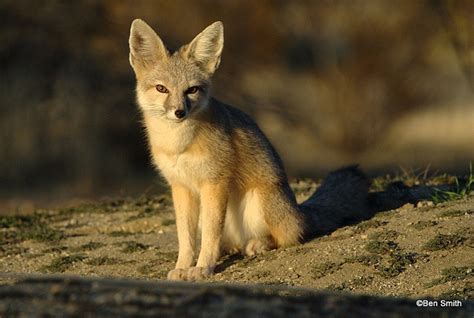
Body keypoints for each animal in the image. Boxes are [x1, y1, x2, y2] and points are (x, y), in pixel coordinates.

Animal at [129, 19, 370, 280]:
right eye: (162, 89)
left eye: (191, 90)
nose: (179, 112)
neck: (178, 145)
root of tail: (299, 210)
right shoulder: (181, 187)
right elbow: (186, 238)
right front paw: (183, 266)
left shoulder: (215, 183)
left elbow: (210, 235)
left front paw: (203, 267)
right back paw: (230, 248)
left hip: (259, 202)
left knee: (289, 237)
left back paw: (258, 244)